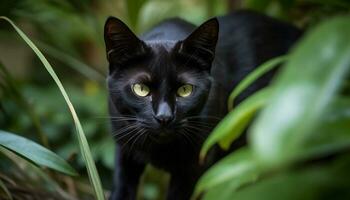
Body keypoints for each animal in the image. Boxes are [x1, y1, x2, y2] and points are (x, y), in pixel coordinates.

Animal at [103, 10, 300, 199]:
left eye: (185, 90)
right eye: (141, 89)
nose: (164, 117)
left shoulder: (196, 167)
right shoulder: (124, 149)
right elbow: (122, 186)